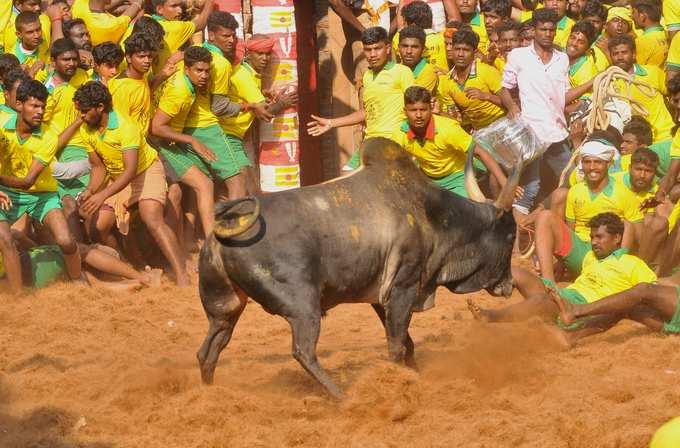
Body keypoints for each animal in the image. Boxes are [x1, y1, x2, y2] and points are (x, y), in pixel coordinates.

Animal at [197, 137, 520, 400]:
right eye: (511, 236)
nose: (508, 285)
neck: (432, 214)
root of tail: (223, 229)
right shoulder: (403, 288)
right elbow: (396, 346)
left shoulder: (381, 298)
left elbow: (407, 344)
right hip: (304, 308)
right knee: (303, 352)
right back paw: (342, 397)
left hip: (226, 309)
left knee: (208, 351)